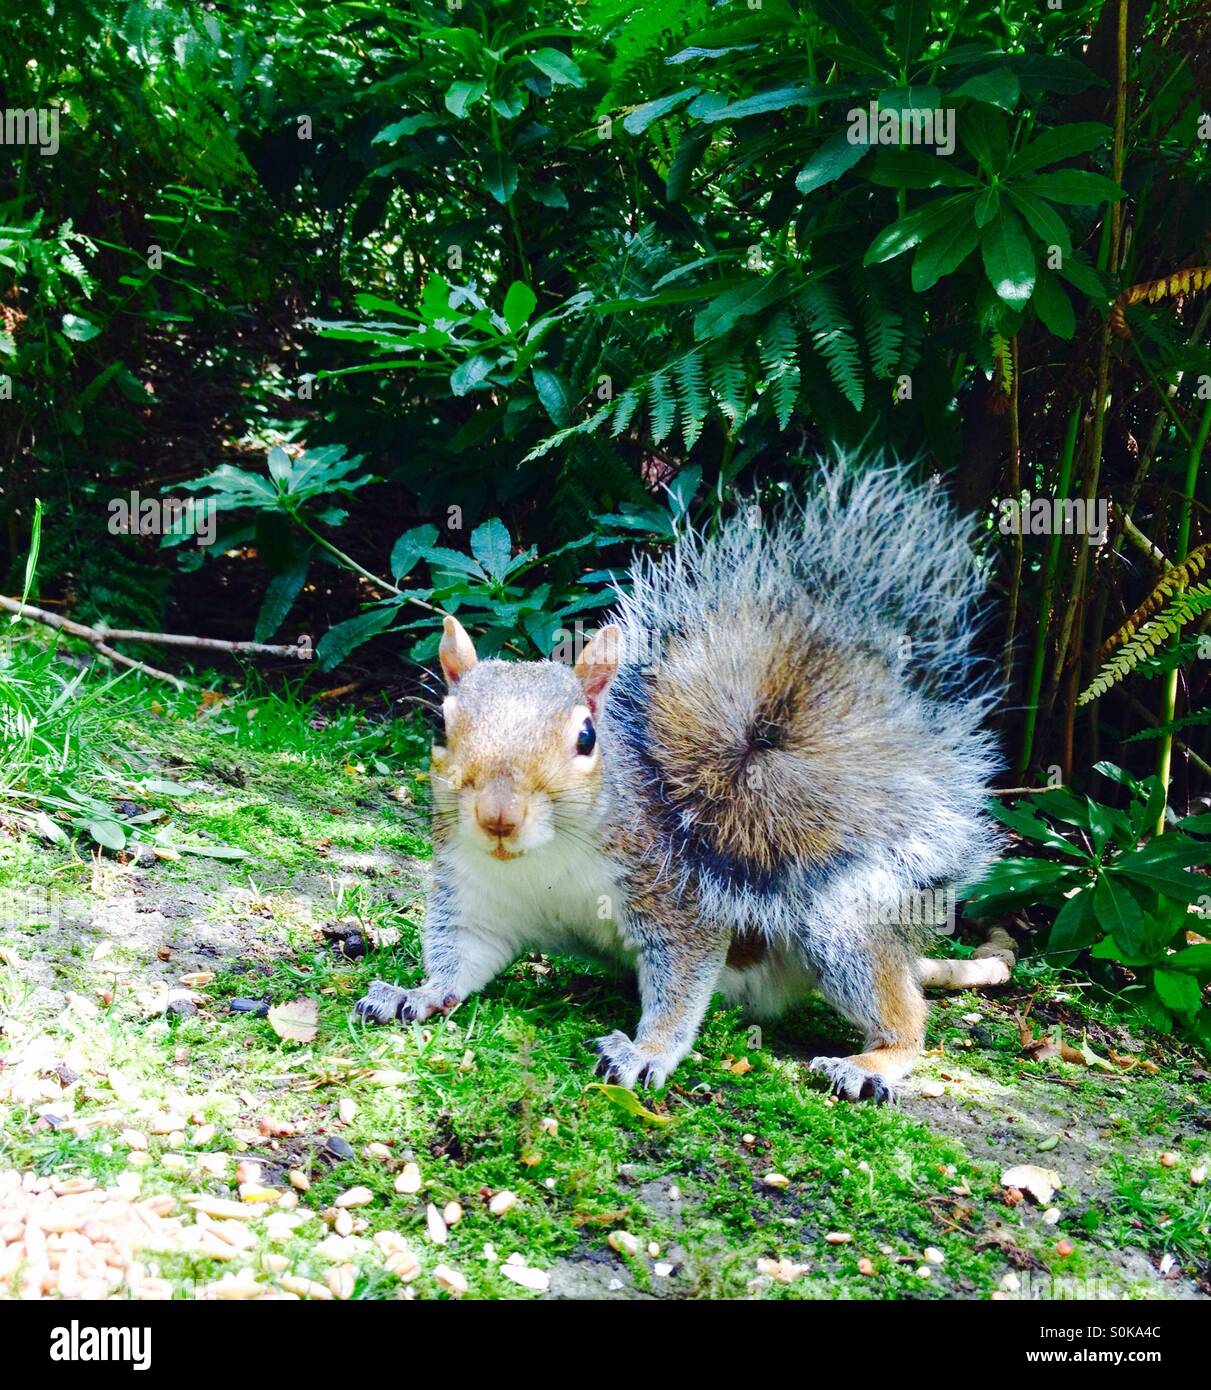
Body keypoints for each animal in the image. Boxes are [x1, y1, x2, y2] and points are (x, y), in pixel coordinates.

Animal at [356, 464, 1001, 1102]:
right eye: (441, 726)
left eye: (586, 737)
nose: (498, 817)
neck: (542, 858)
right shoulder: (477, 896)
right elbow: (463, 957)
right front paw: (414, 993)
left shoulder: (678, 899)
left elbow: (681, 983)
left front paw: (645, 1052)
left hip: (836, 927)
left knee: (902, 1012)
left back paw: (871, 1063)